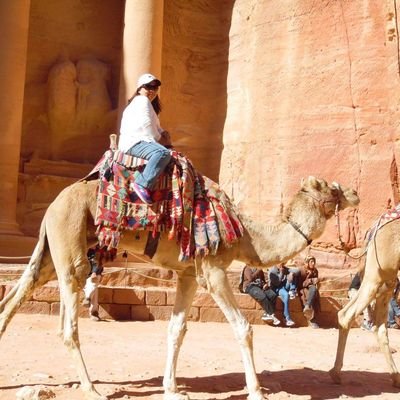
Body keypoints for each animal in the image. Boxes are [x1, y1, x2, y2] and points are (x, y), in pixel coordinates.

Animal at [0, 173, 360, 398]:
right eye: (331, 188)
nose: (356, 193)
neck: (245, 234)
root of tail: (53, 204)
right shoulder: (213, 271)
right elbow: (243, 327)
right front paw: (257, 391)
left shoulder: (188, 274)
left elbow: (176, 330)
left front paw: (171, 388)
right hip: (71, 244)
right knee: (67, 325)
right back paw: (91, 389)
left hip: (52, 249)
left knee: (17, 294)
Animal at [330, 216, 400, 388]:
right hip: (379, 272)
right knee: (347, 314)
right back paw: (335, 374)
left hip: (385, 279)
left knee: (379, 326)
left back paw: (396, 377)